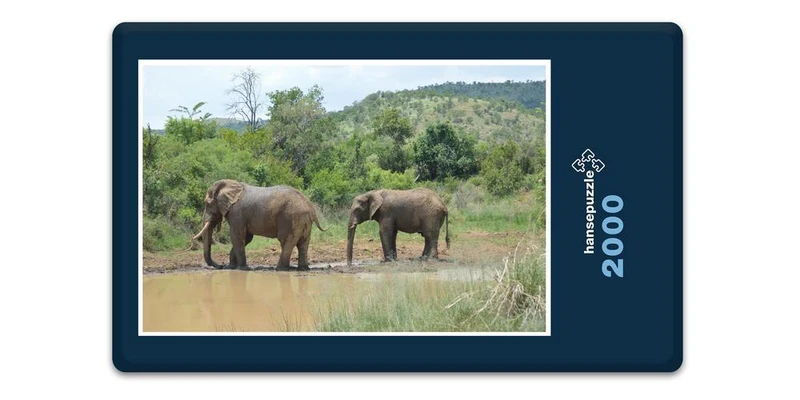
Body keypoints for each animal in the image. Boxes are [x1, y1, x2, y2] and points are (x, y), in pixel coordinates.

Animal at [192, 179, 327, 271]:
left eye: (207, 204)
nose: (220, 266)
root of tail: (310, 208)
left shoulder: (237, 213)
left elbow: (237, 236)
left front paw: (241, 269)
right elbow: (246, 238)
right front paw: (232, 267)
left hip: (291, 219)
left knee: (286, 241)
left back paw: (279, 269)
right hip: (303, 222)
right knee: (303, 244)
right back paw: (303, 269)